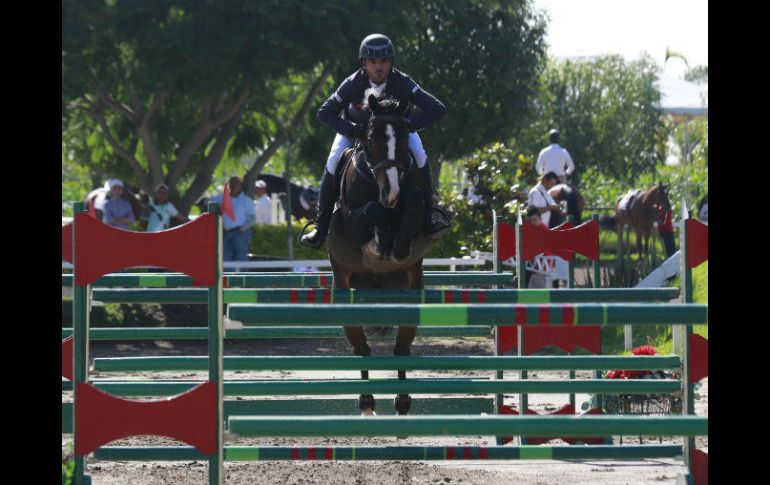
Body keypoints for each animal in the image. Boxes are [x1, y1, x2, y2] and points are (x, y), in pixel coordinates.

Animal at [328, 92, 428, 414]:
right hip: (345, 290)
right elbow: (371, 211)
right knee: (362, 348)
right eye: (371, 138)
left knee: (401, 347)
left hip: (409, 290)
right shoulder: (351, 218)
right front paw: (382, 236)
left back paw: (402, 401)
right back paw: (367, 402)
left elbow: (415, 201)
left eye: (405, 137)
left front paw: (397, 244)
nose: (391, 191)